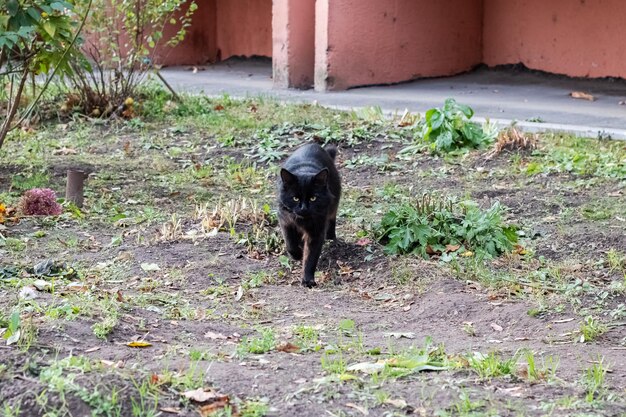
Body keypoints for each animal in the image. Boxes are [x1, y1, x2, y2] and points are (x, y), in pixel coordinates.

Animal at [276, 142, 338, 286]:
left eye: (313, 198)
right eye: (295, 198)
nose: (304, 208)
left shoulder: (316, 231)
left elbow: (311, 257)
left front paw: (308, 280)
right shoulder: (285, 221)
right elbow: (290, 243)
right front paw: (297, 254)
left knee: (332, 220)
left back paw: (331, 238)